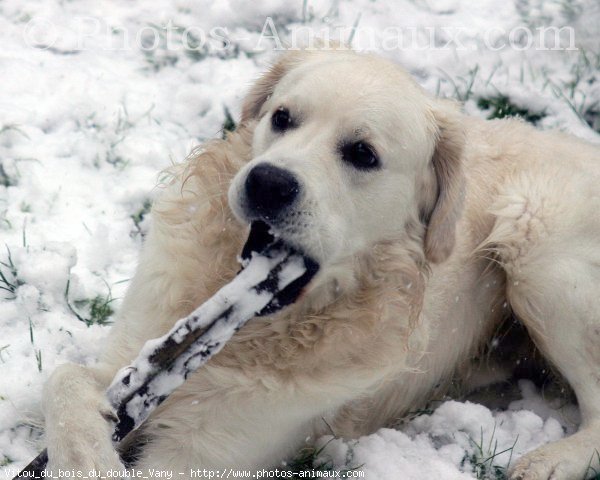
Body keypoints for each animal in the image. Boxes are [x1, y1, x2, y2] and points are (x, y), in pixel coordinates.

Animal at [44, 49, 600, 480]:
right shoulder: (130, 360)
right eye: (282, 117)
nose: (267, 182)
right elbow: (62, 380)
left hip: (539, 252)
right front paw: (88, 456)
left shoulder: (205, 449)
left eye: (363, 153)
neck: (258, 327)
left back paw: (551, 461)